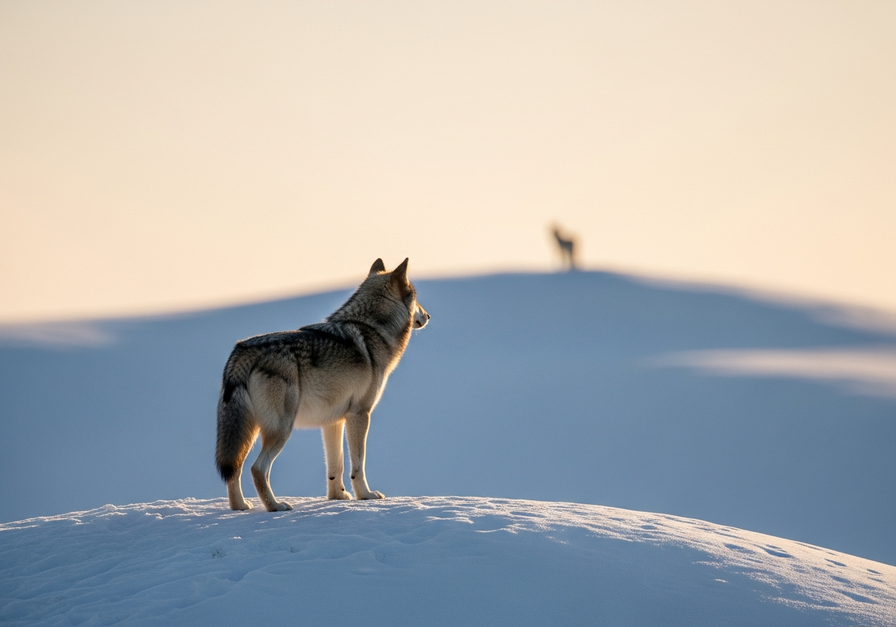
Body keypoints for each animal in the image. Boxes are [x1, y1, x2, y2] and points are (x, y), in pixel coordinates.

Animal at [215, 258, 429, 511]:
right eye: (416, 299)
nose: (428, 316)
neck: (373, 329)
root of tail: (241, 351)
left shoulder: (333, 421)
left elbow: (336, 467)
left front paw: (337, 498)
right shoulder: (359, 414)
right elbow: (358, 464)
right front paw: (365, 495)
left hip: (248, 431)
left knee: (234, 470)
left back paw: (240, 507)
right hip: (281, 428)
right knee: (257, 468)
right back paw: (275, 506)